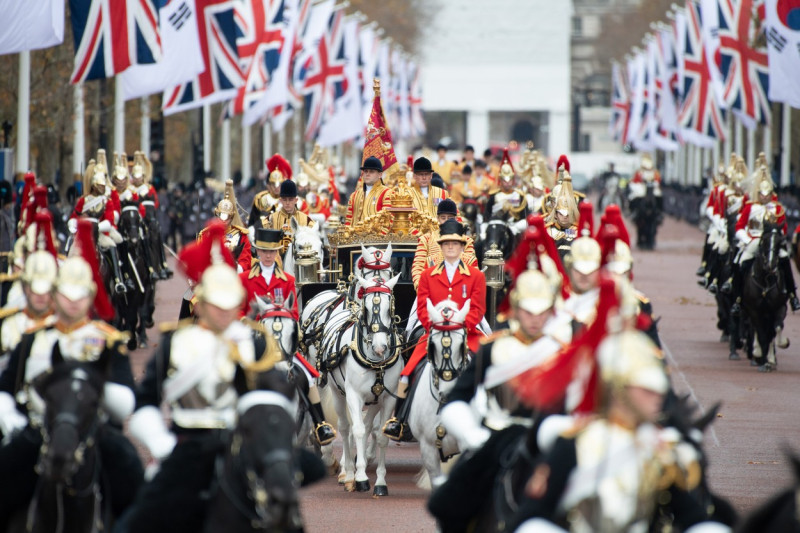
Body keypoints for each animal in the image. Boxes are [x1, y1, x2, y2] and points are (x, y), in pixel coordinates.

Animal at [318, 270, 404, 494]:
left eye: (390, 307)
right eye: (366, 309)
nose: (380, 347)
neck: (376, 363)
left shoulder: (387, 398)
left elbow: (380, 435)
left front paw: (380, 482)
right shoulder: (353, 395)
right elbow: (355, 430)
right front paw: (361, 477)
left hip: (373, 401)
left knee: (367, 426)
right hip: (338, 394)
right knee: (346, 427)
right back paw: (348, 473)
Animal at [740, 223, 792, 370]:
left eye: (780, 242)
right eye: (764, 240)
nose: (770, 265)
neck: (765, 281)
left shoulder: (779, 308)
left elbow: (775, 329)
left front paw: (772, 358)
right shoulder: (754, 310)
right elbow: (762, 333)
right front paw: (761, 358)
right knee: (755, 328)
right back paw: (757, 353)